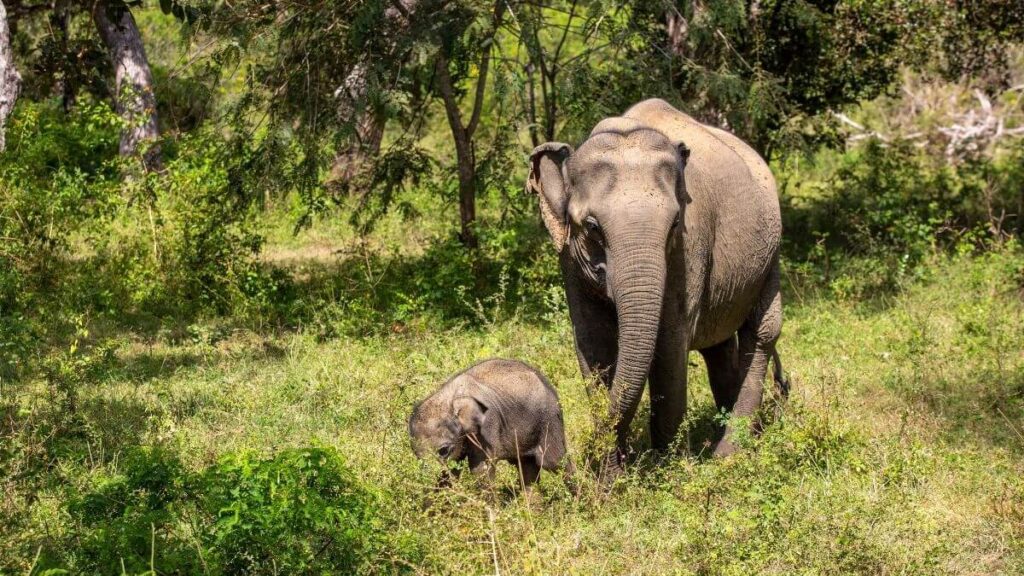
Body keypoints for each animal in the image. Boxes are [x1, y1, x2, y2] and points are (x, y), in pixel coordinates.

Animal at [405, 358, 569, 483]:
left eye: (443, 450)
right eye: (416, 455)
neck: (450, 399)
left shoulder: (487, 426)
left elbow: (480, 469)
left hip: (549, 420)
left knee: (553, 462)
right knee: (527, 468)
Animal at [528, 95, 782, 471]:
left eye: (675, 222)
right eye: (592, 227)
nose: (582, 458)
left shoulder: (688, 250)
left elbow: (670, 343)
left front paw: (668, 470)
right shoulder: (569, 257)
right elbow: (593, 344)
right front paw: (612, 476)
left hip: (772, 251)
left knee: (762, 332)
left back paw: (728, 454)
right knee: (718, 345)